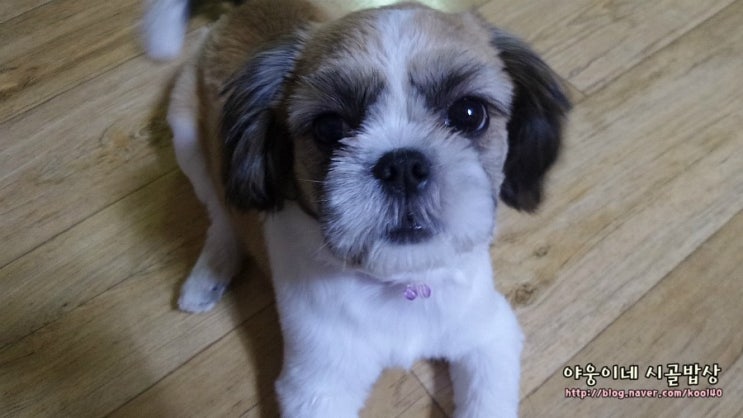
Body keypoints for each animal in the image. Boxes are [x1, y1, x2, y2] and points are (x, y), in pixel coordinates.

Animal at [147, 0, 570, 416]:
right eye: (330, 127)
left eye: (469, 113)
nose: (403, 166)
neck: (400, 282)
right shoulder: (316, 388)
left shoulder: (489, 335)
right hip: (186, 137)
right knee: (220, 212)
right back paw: (210, 271)